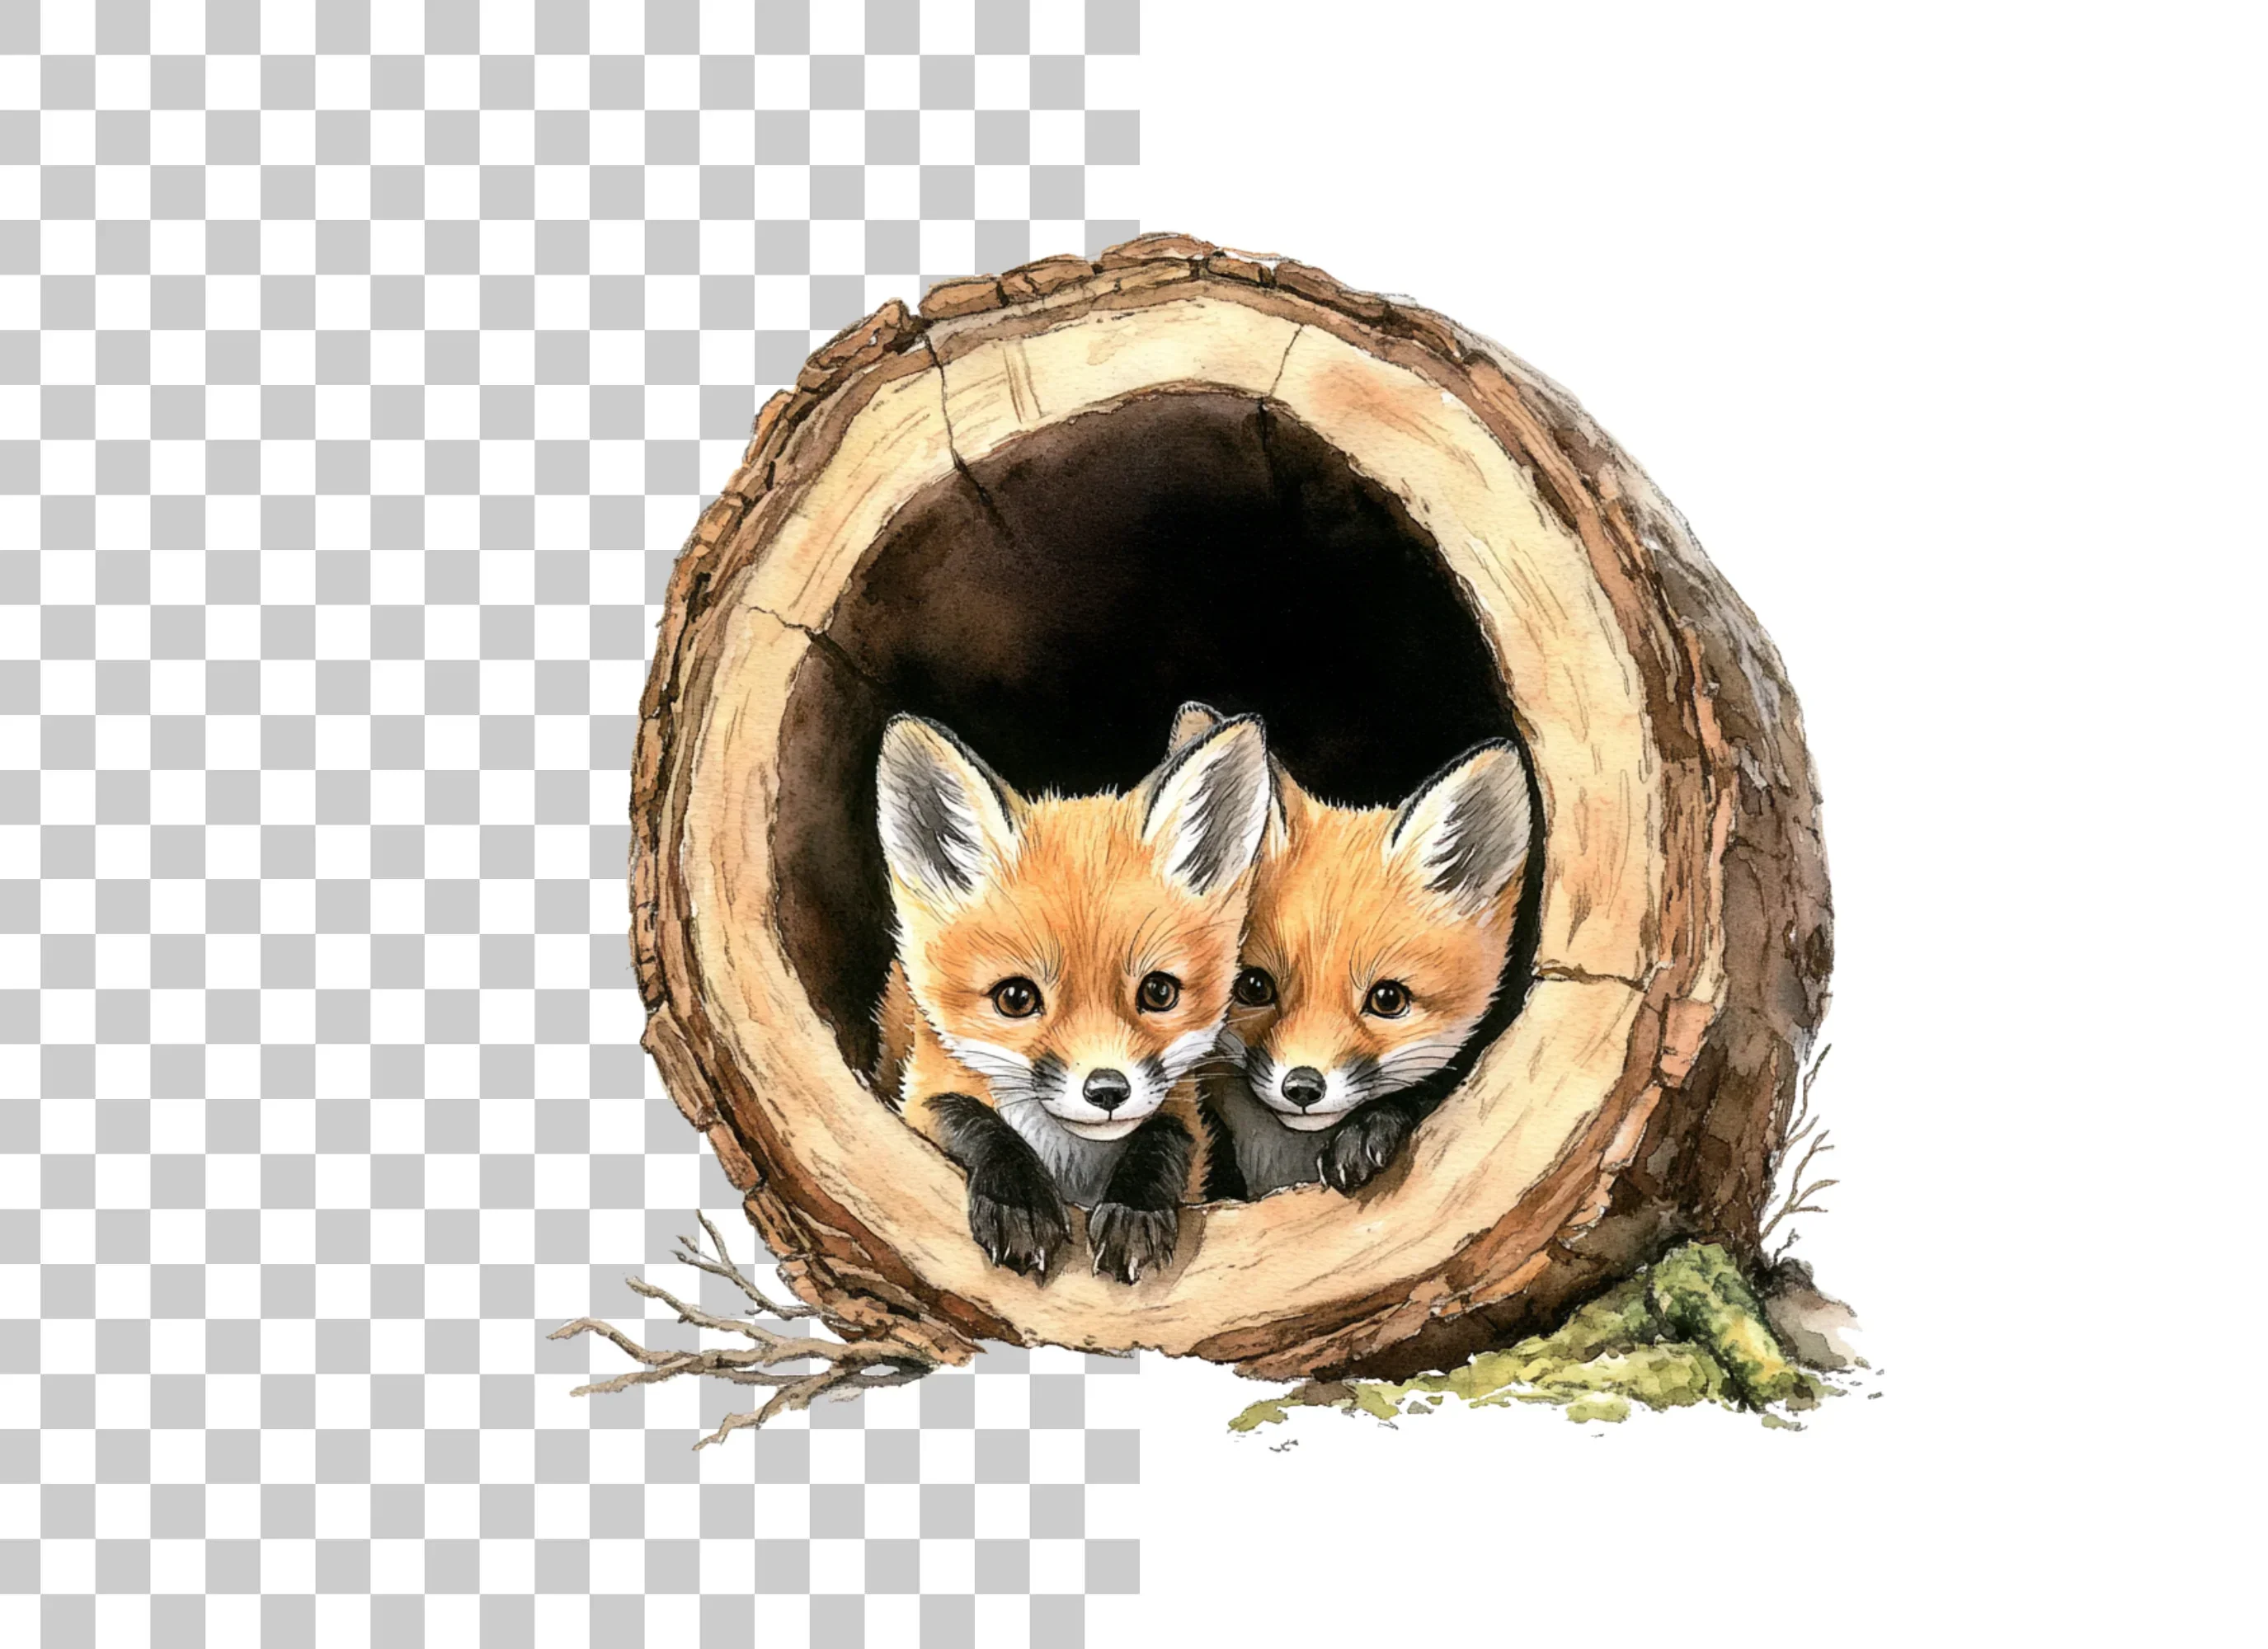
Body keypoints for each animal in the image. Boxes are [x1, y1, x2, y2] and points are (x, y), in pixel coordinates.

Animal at [869, 711, 1274, 1282]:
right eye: (1016, 999)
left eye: (1159, 992)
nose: (1107, 1091)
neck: (1072, 1160)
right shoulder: (923, 1090)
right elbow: (974, 1122)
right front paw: (1018, 1204)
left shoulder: (1181, 1110)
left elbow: (1164, 1139)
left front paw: (1133, 1211)